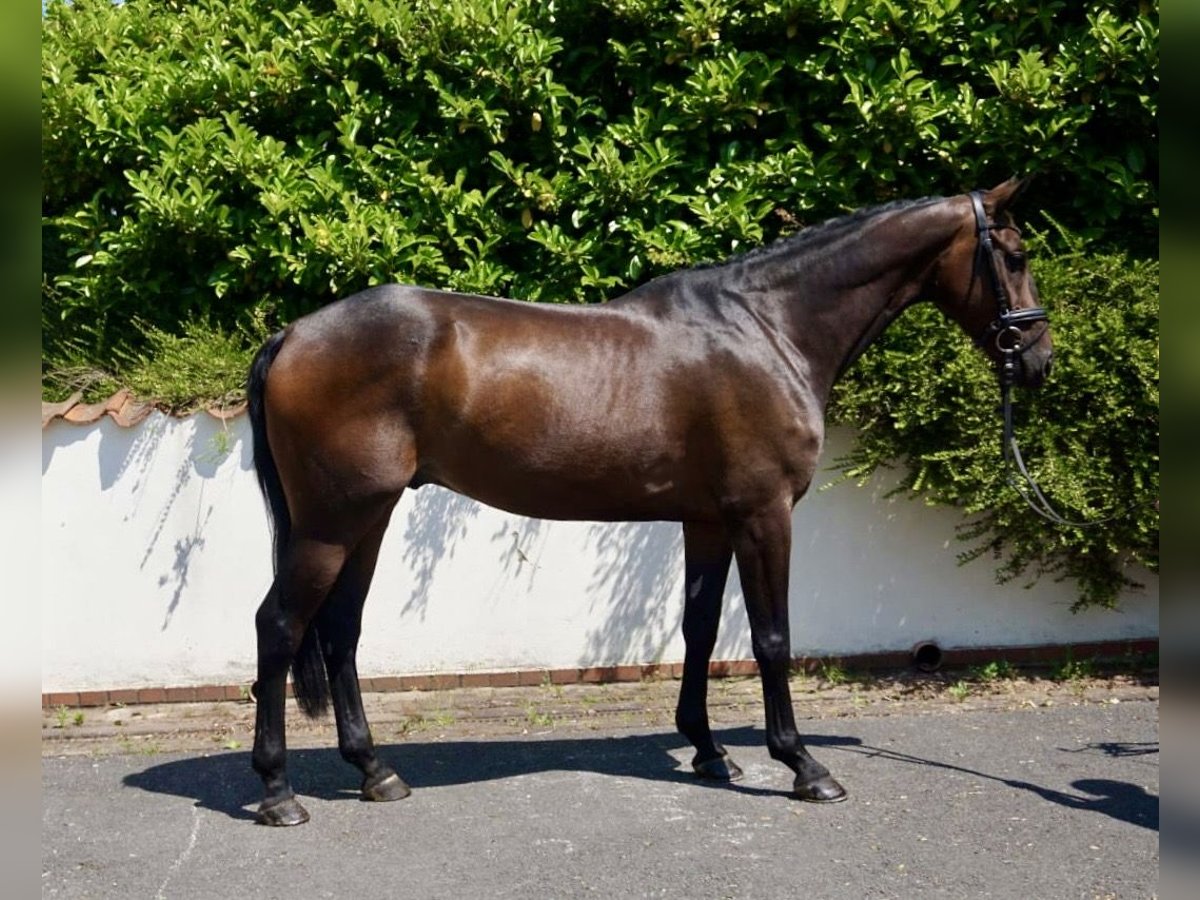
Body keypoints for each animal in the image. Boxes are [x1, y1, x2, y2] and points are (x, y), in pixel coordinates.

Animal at [250, 176, 1051, 825]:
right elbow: (771, 638)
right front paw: (803, 765)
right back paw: (279, 793)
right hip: (330, 524)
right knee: (281, 626)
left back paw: (375, 771)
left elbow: (698, 628)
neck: (768, 328)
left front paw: (708, 752)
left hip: (368, 518)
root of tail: (292, 333)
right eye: (1013, 255)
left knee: (341, 630)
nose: (1039, 360)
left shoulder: (708, 521)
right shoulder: (764, 515)